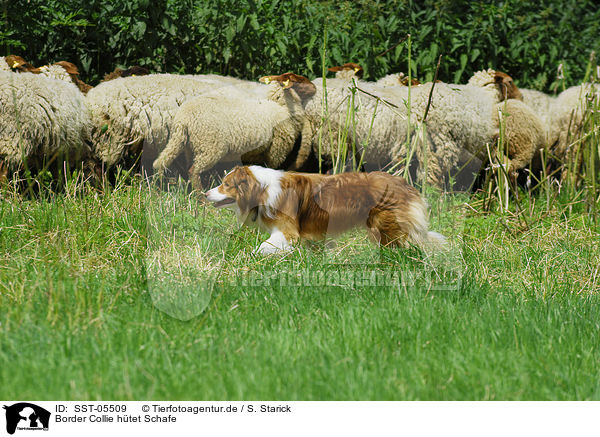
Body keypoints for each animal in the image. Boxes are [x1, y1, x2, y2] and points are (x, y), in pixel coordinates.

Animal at [152, 72, 316, 187]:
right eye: (299, 80)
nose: (314, 88)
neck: (281, 105)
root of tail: (183, 120)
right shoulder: (276, 151)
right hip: (210, 147)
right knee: (194, 171)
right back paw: (203, 201)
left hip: (189, 146)